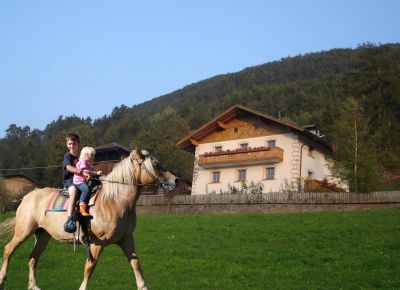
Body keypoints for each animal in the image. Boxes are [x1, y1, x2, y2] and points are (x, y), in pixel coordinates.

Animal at [0, 150, 178, 290]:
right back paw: (2, 280)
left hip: (43, 235)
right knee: (9, 250)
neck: (113, 201)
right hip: (24, 232)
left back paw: (34, 286)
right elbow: (90, 267)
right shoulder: (96, 243)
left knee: (32, 259)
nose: (175, 179)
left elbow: (136, 263)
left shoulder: (126, 240)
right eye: (155, 164)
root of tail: (27, 196)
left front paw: (143, 286)